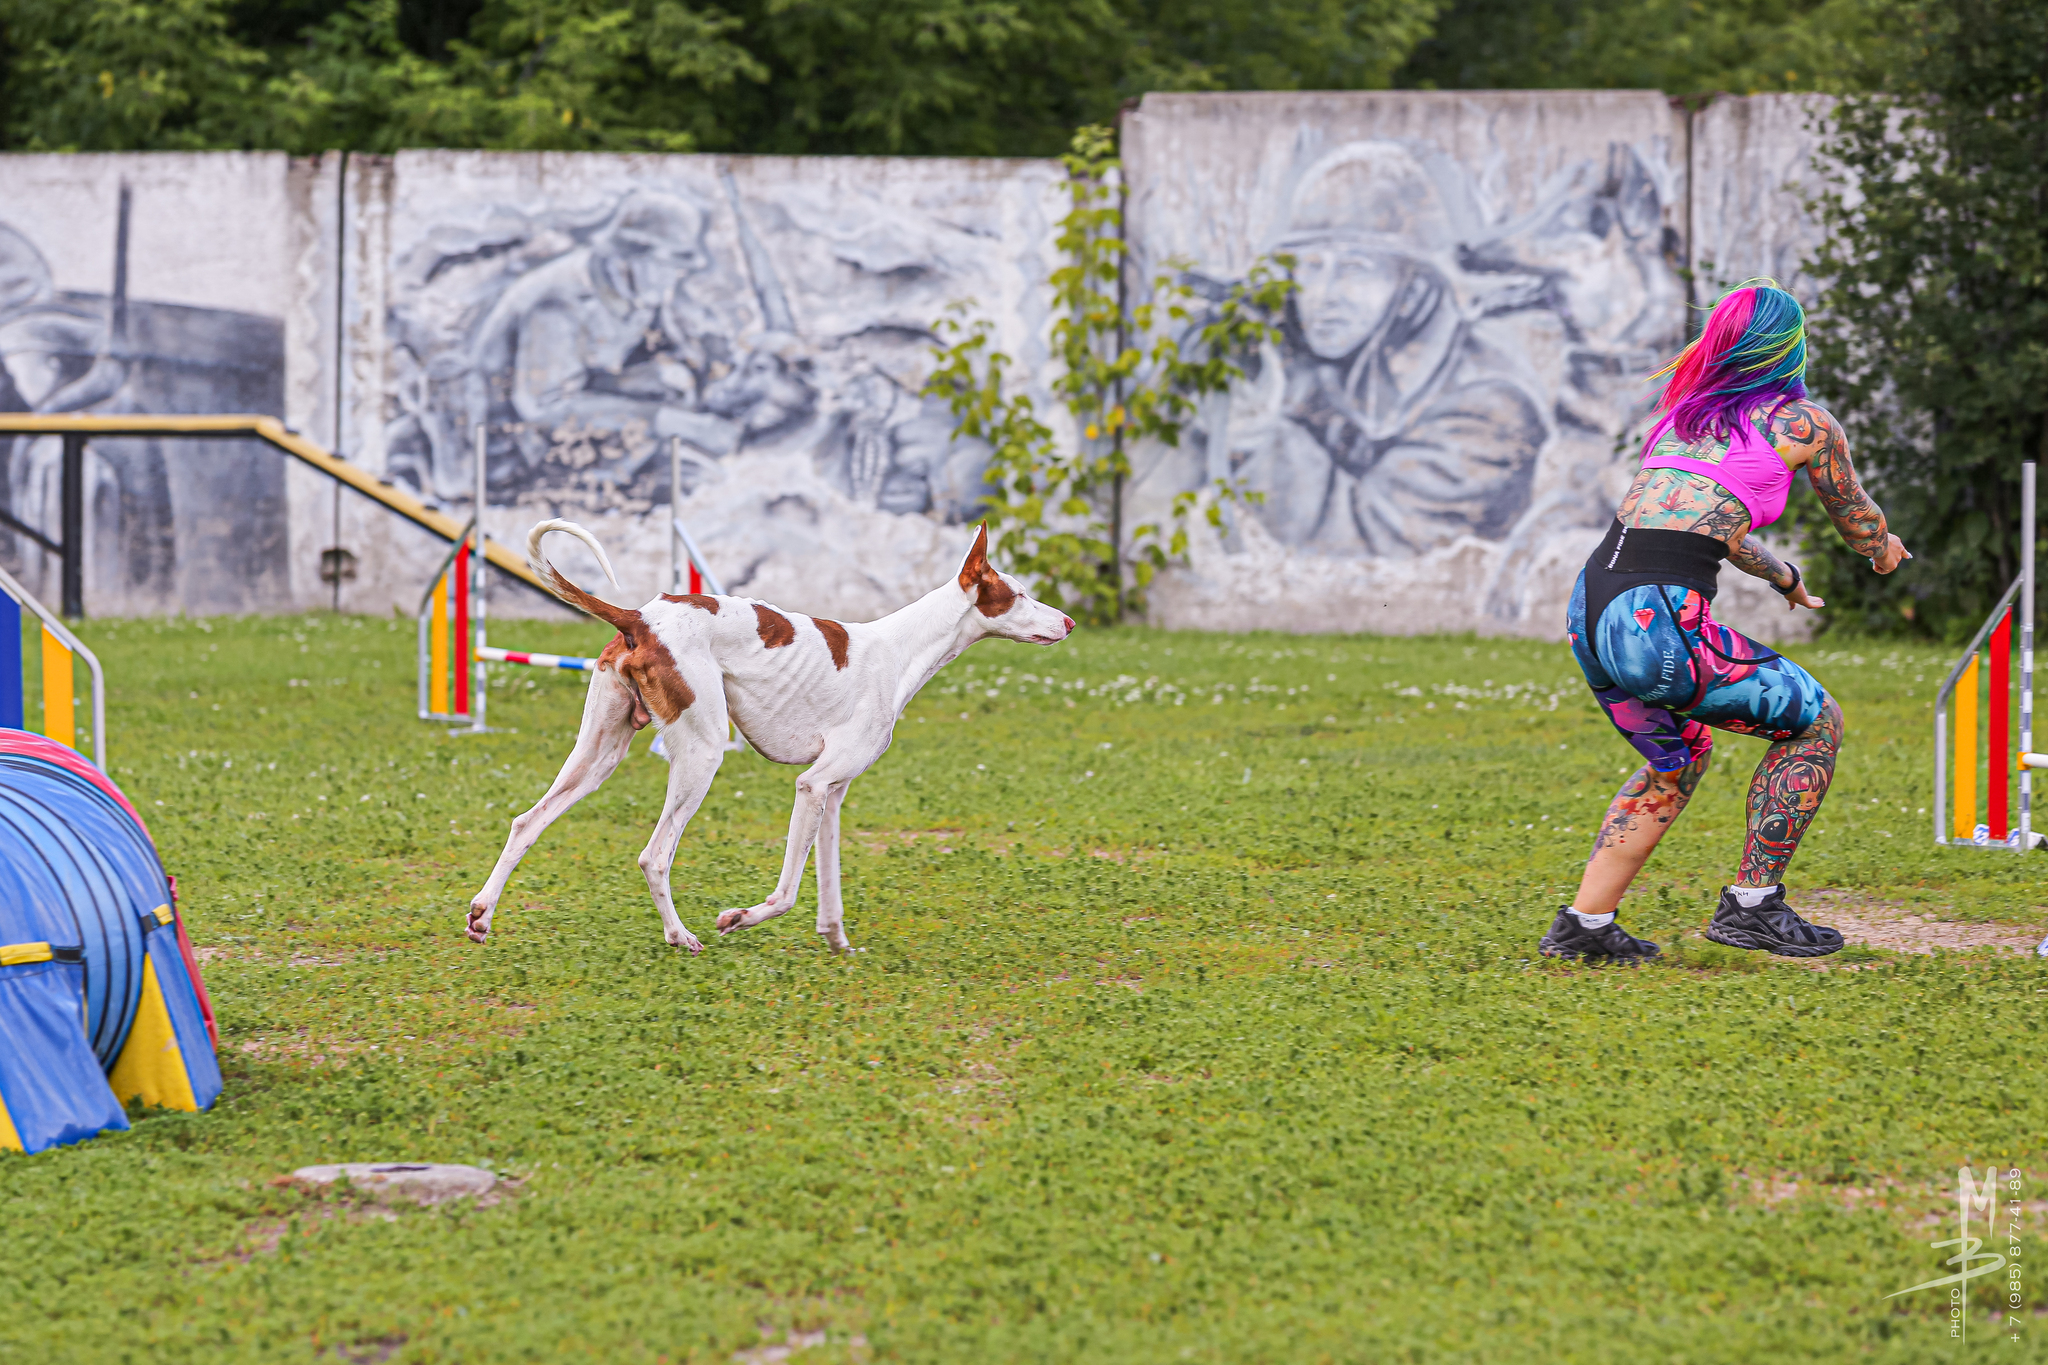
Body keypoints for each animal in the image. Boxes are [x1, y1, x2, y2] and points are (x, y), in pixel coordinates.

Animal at [464, 517, 1073, 957]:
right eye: (1018, 594)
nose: (1067, 622)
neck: (900, 650)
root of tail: (640, 617)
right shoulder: (812, 784)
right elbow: (786, 893)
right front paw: (738, 918)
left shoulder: (833, 794)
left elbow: (828, 889)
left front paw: (838, 944)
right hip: (702, 754)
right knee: (654, 855)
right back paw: (680, 936)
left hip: (598, 756)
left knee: (526, 822)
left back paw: (482, 915)